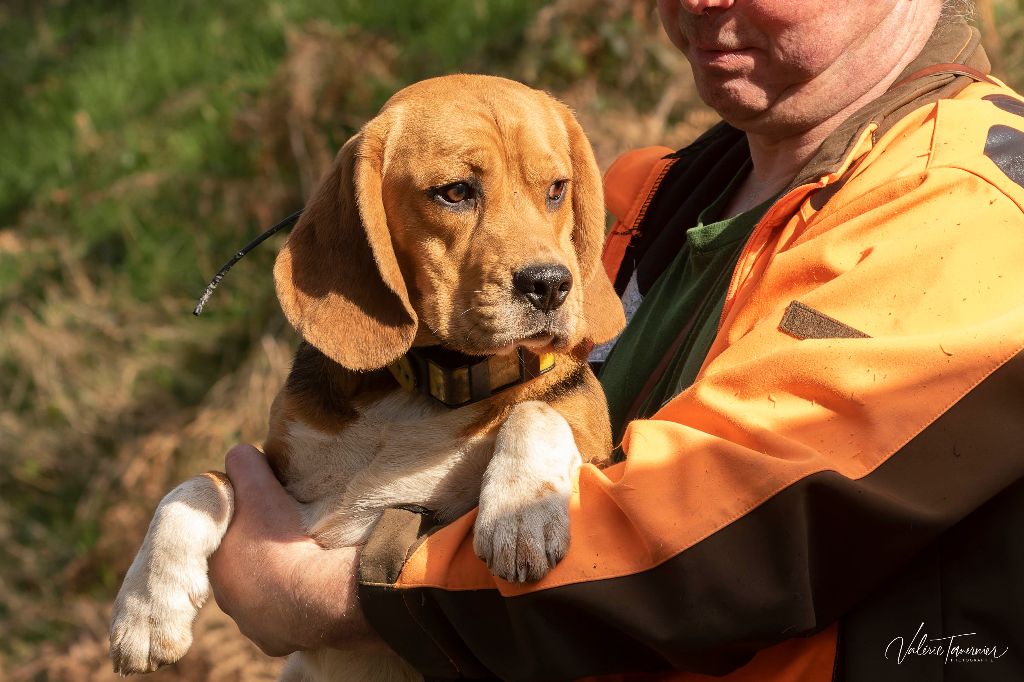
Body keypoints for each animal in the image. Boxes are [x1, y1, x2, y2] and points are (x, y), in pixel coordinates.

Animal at [110, 71, 622, 675]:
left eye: (556, 190)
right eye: (455, 192)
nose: (551, 285)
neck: (423, 387)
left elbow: (535, 410)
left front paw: (521, 511)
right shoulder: (275, 475)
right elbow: (197, 486)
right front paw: (147, 606)